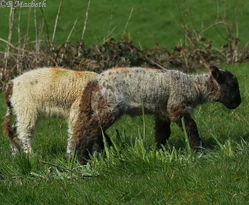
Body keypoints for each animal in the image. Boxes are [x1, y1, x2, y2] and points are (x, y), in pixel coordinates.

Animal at [71, 65, 242, 163]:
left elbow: (162, 133)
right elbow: (191, 127)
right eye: (232, 86)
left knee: (85, 129)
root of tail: (94, 83)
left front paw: (158, 151)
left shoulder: (163, 112)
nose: (239, 103)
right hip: (108, 106)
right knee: (89, 130)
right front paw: (199, 150)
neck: (195, 87)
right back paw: (82, 158)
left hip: (97, 107)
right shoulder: (177, 106)